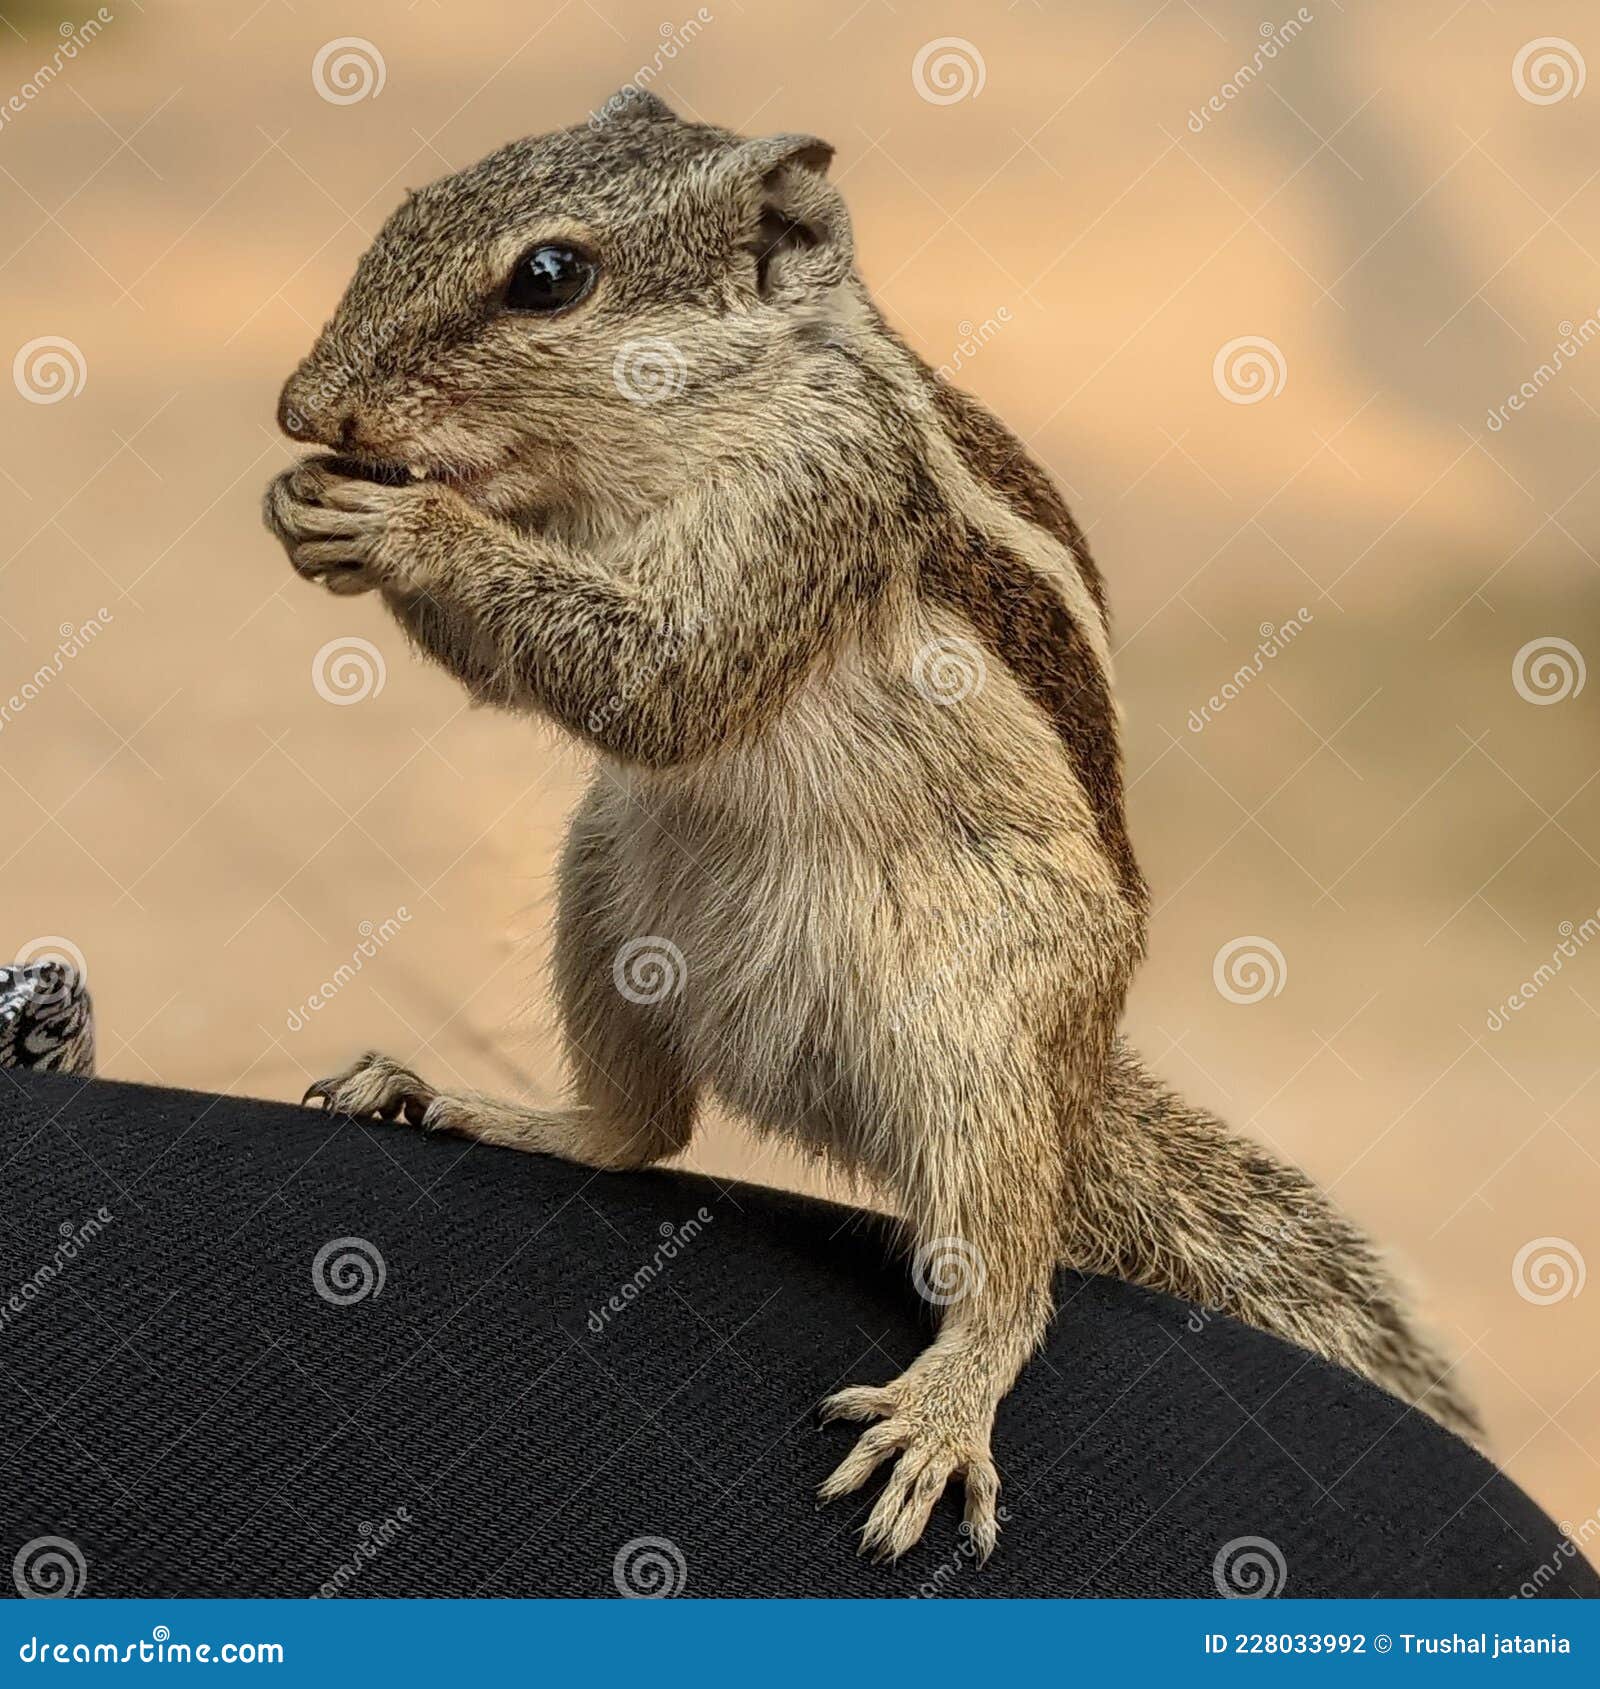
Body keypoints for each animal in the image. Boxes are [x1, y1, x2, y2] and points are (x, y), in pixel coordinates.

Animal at [263, 91, 1480, 1564]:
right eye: (418, 199)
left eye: (550, 275)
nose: (302, 407)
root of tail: (1077, 1088)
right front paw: (304, 500)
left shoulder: (814, 497)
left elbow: (662, 676)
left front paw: (406, 523)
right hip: (607, 902)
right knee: (636, 1129)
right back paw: (473, 1102)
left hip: (981, 1033)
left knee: (1011, 1270)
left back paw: (948, 1406)